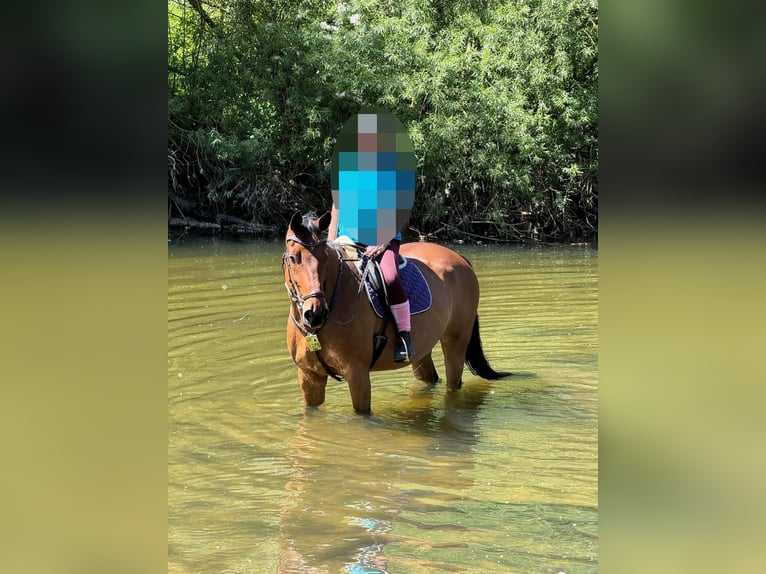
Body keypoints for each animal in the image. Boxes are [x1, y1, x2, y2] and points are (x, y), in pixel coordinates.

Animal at [283, 211, 510, 414]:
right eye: (294, 258)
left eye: (326, 258)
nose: (315, 313)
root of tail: (459, 258)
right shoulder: (309, 376)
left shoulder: (358, 375)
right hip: (422, 348)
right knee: (430, 379)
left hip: (456, 342)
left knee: (453, 385)